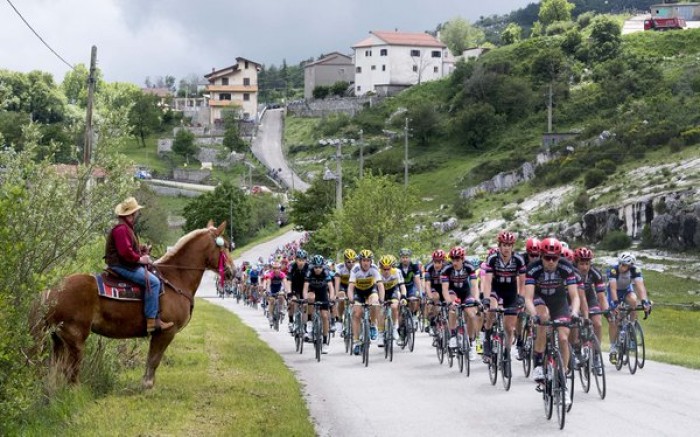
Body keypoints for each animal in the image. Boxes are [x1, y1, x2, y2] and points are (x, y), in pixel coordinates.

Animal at [33, 221, 230, 388]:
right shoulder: (166, 332)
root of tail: (52, 290)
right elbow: (154, 359)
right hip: (75, 338)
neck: (176, 278)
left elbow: (151, 359)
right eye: (225, 246)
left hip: (57, 338)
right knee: (70, 370)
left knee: (55, 369)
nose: (231, 271)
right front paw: (147, 385)